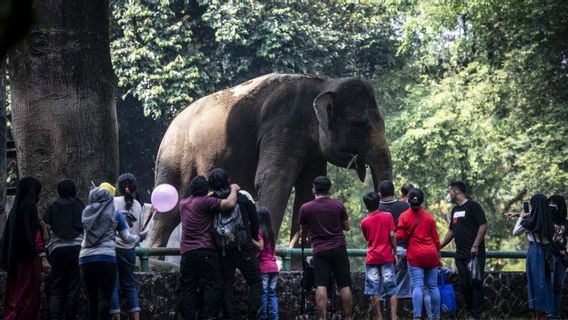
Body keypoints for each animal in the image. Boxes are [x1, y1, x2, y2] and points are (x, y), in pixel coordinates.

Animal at [149, 73, 392, 248]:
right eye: (361, 125)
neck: (322, 83)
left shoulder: (312, 150)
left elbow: (307, 191)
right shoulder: (281, 129)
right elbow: (273, 182)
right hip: (175, 158)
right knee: (169, 212)